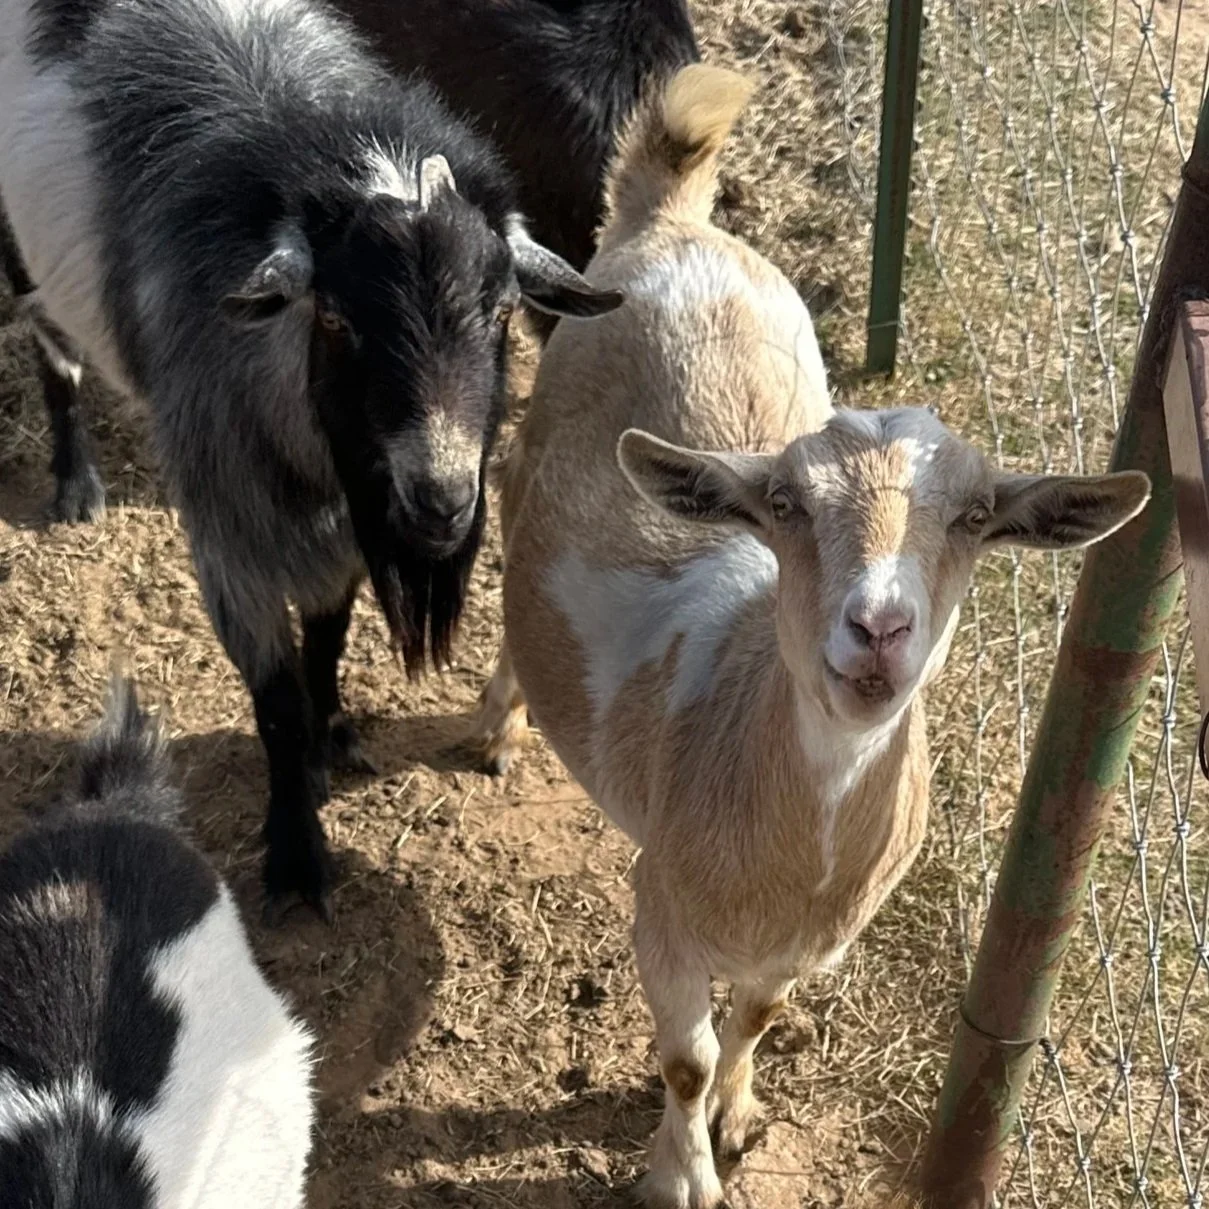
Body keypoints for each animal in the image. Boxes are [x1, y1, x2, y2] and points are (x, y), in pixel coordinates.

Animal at [0, 0, 622, 923]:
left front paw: (333, 734)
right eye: (334, 318)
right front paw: (296, 854)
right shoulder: (231, 541)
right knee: (53, 345)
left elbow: (327, 636)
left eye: (501, 311)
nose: (441, 503)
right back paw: (76, 484)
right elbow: (276, 703)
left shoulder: (346, 527)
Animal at [473, 64, 1151, 1208]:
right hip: (527, 450)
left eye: (977, 517)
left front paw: (738, 1118)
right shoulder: (659, 904)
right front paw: (680, 1175)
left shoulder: (804, 949)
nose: (878, 625)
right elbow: (684, 1054)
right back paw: (496, 721)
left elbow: (755, 1020)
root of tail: (676, 222)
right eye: (783, 504)